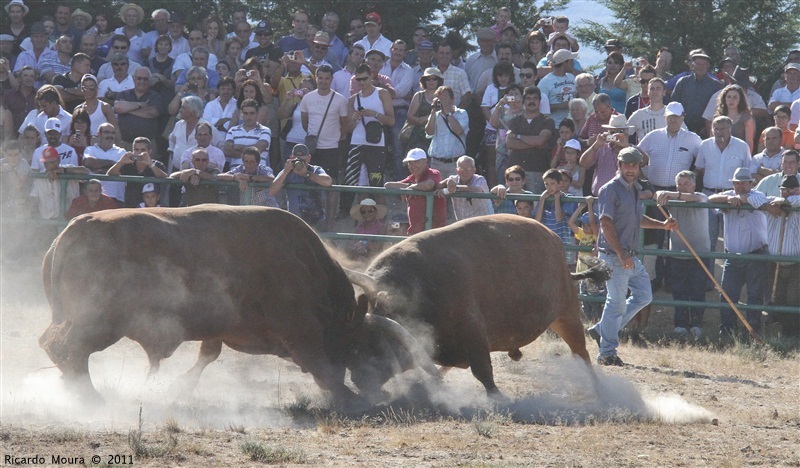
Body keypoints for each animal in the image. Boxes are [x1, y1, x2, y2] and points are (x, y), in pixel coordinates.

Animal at [39, 206, 438, 406]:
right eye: (362, 345)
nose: (371, 385)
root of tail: (76, 227)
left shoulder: (222, 327)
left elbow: (208, 354)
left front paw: (179, 387)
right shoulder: (300, 332)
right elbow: (321, 367)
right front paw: (350, 397)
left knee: (53, 345)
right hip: (98, 322)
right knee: (70, 349)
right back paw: (87, 395)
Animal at [346, 214, 604, 396]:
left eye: (374, 344)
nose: (359, 379)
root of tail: (554, 239)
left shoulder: (473, 330)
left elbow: (482, 371)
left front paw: (497, 397)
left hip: (567, 315)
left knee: (581, 353)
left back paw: (598, 390)